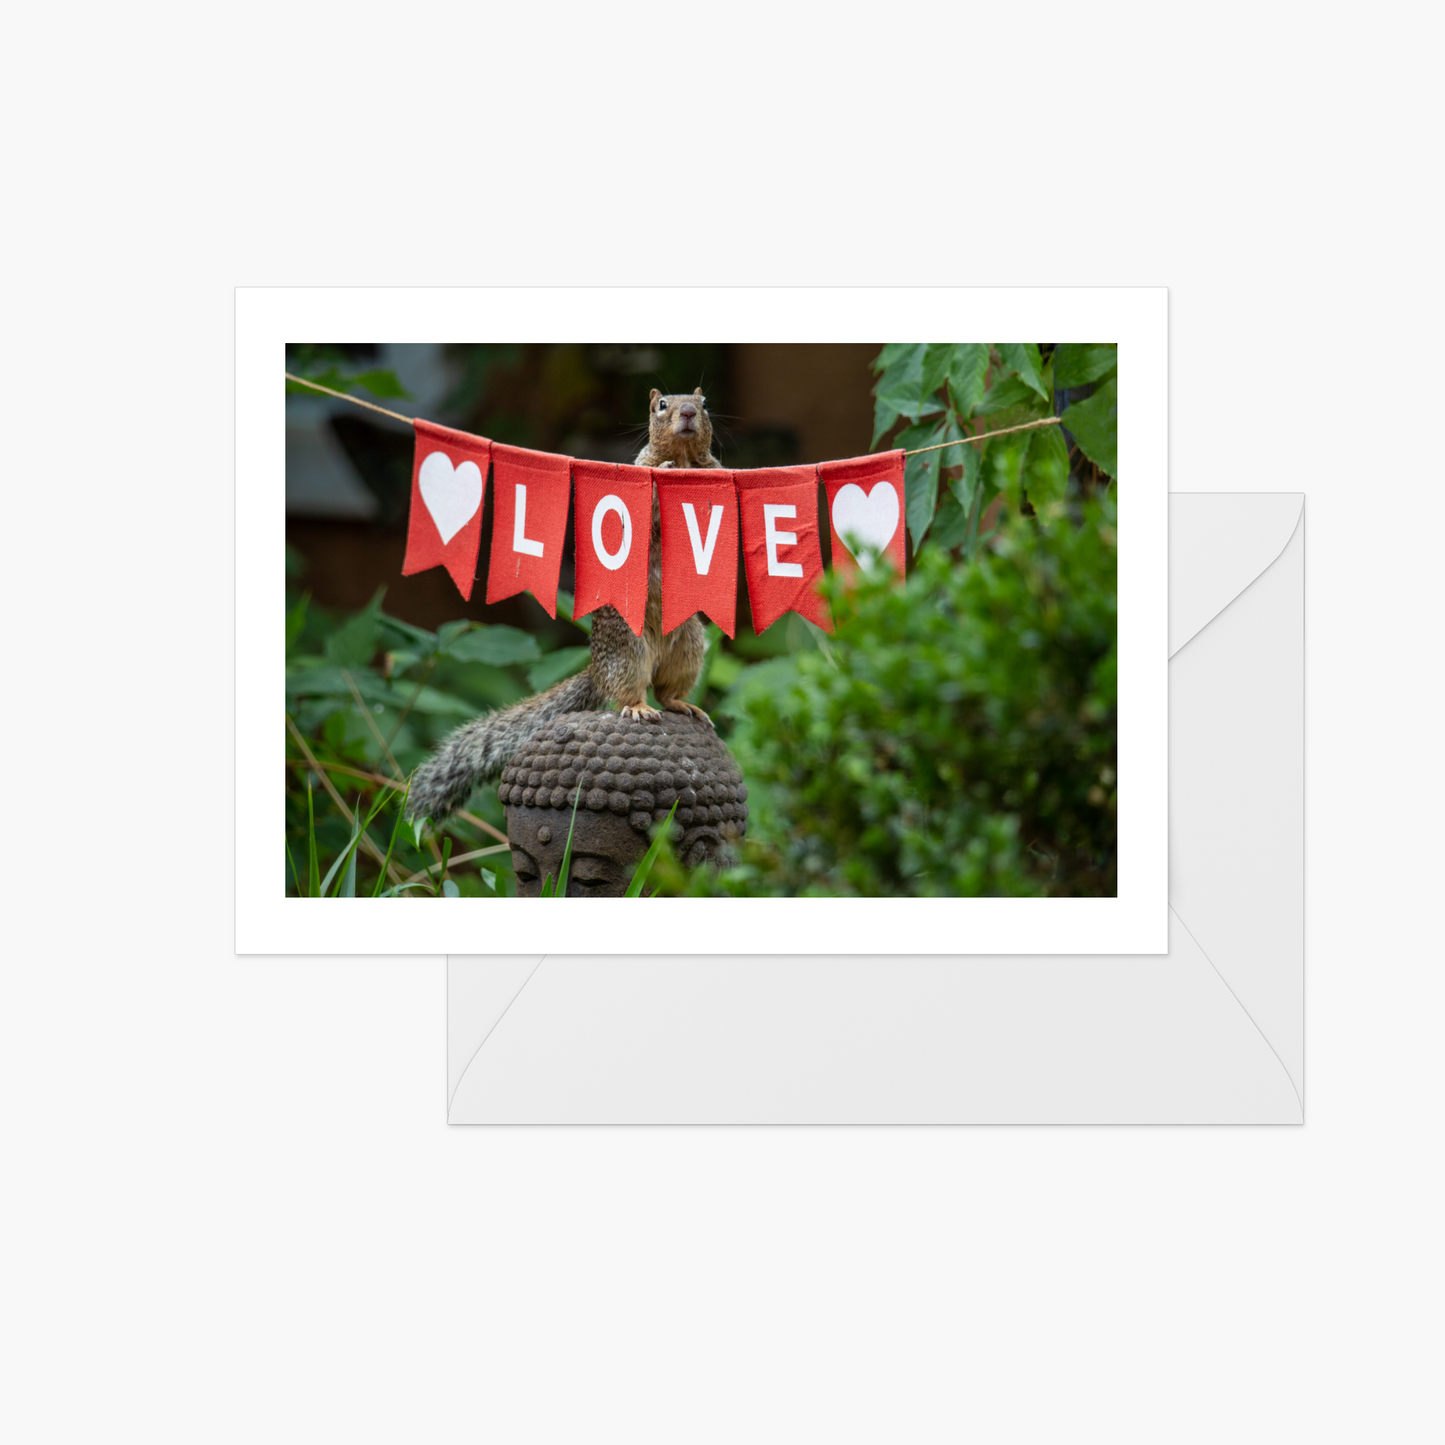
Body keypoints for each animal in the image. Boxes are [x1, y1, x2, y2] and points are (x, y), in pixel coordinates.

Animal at [405, 387, 720, 824]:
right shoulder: (639, 481)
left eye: (704, 404)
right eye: (661, 406)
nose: (688, 411)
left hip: (688, 648)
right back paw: (638, 708)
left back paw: (684, 704)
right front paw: (669, 471)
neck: (688, 458)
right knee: (629, 693)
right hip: (629, 652)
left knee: (666, 691)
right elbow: (648, 510)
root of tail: (597, 670)